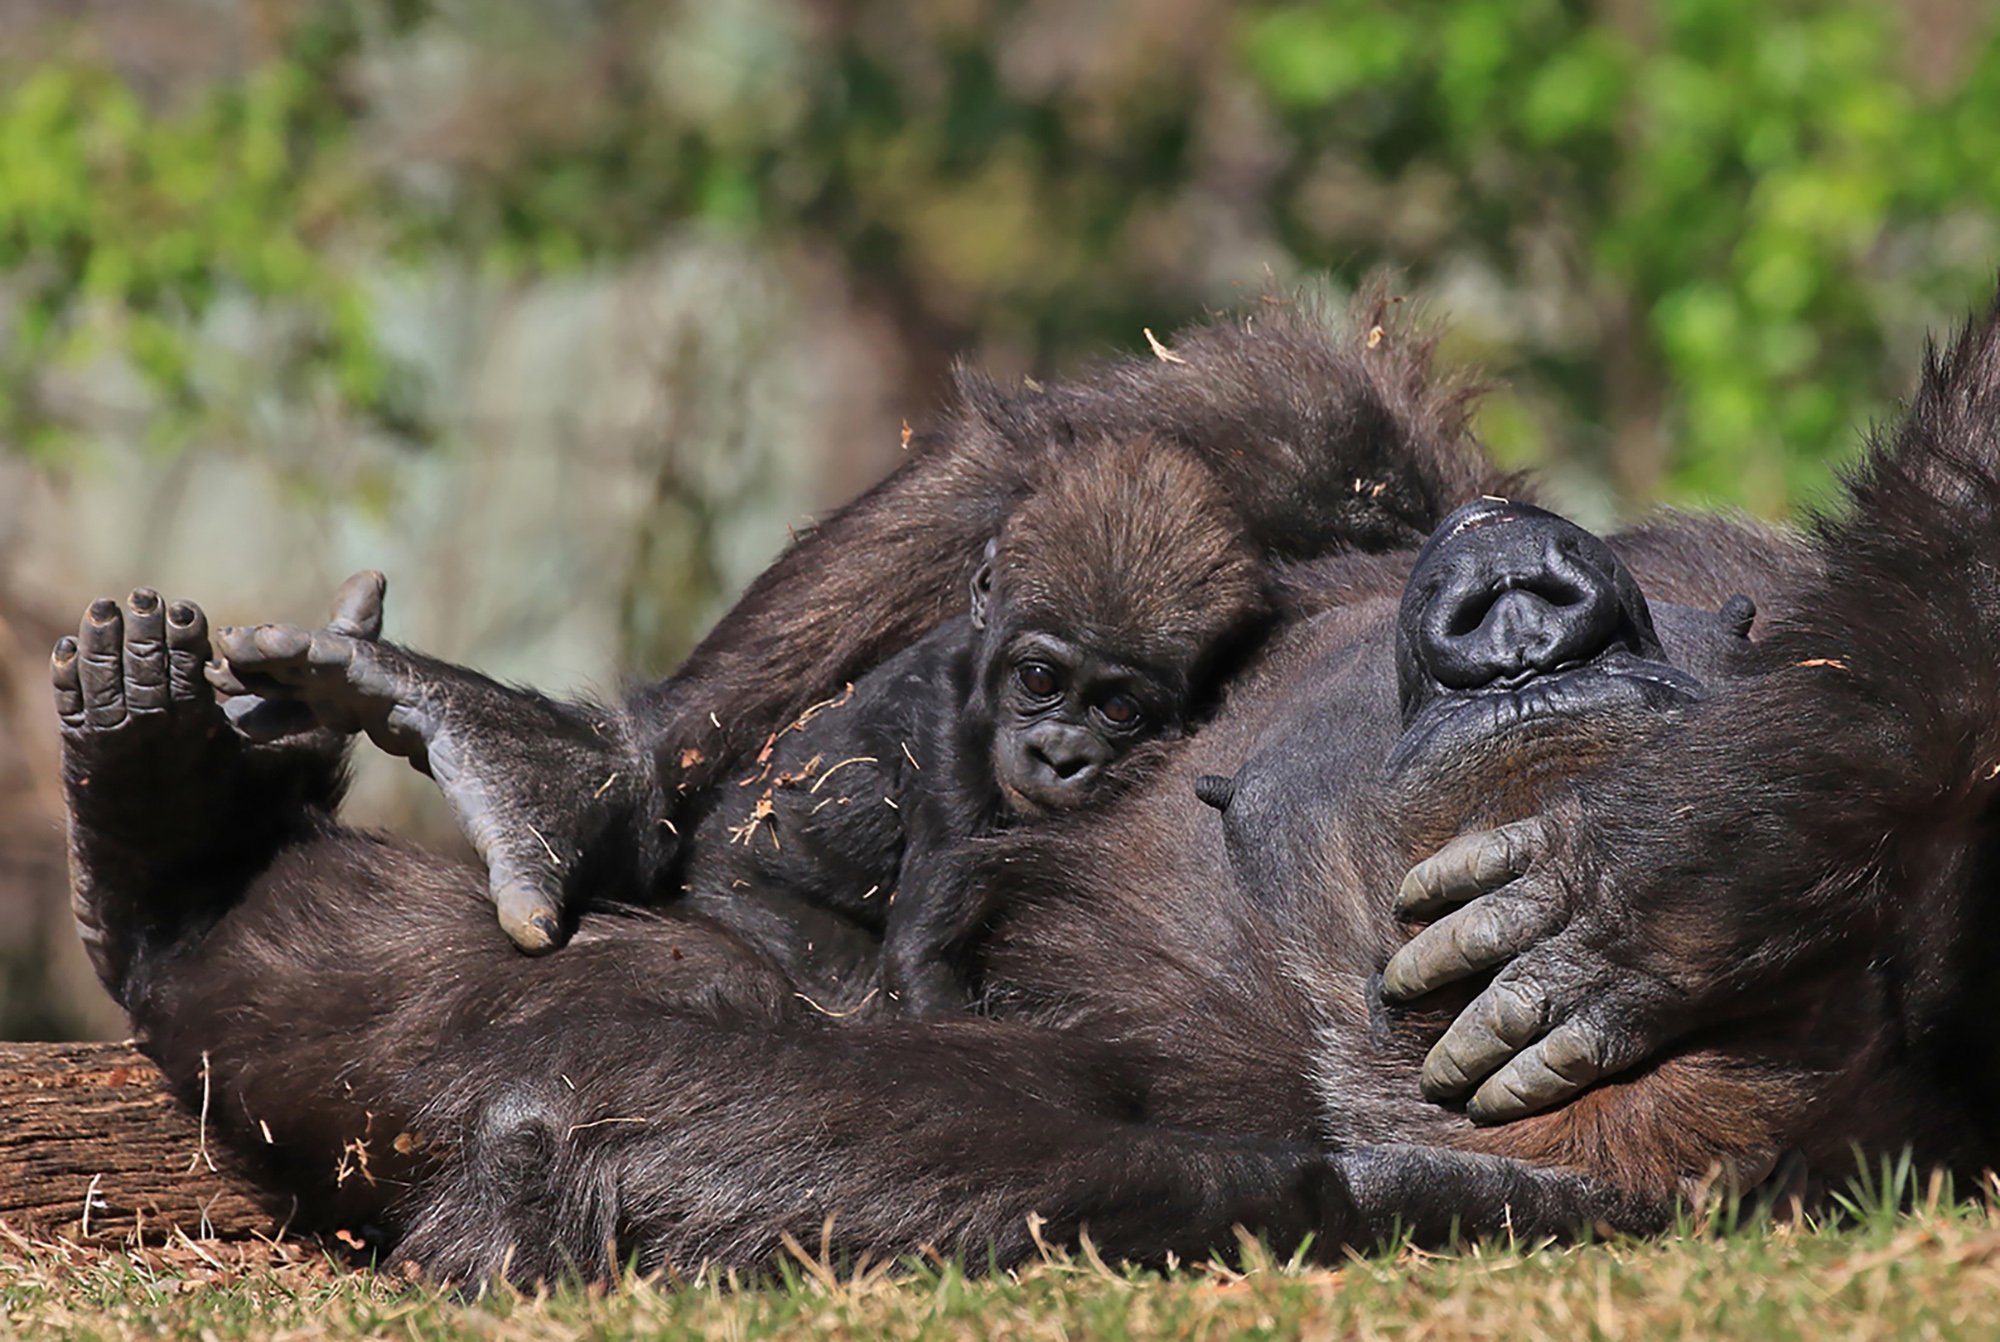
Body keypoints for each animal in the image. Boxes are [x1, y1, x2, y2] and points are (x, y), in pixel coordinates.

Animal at [692, 436, 1264, 1012]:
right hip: (730, 885)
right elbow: (922, 961)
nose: (1059, 756)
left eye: (1121, 709)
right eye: (1038, 679)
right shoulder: (948, 749)